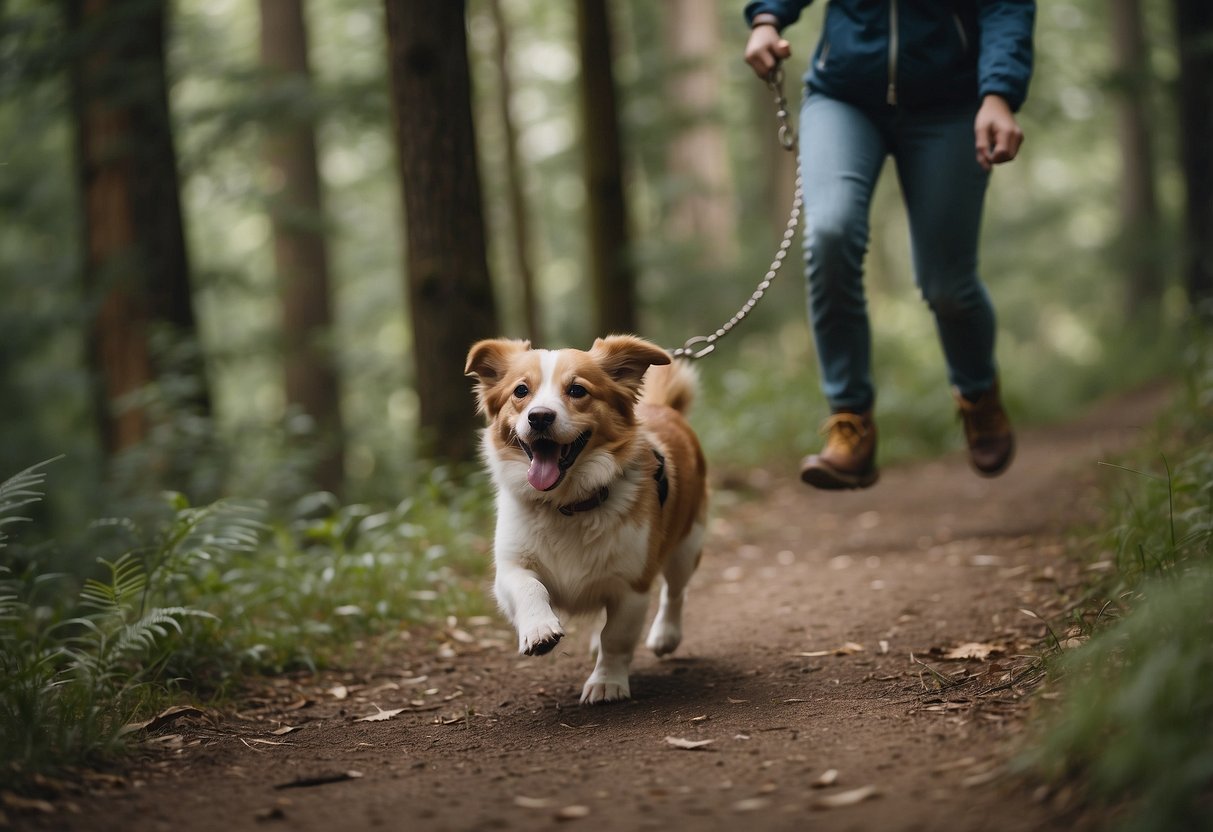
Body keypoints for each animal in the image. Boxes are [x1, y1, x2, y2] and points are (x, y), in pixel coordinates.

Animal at [463, 334, 708, 708]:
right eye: (521, 391)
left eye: (577, 390)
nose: (539, 417)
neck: (567, 505)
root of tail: (665, 408)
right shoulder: (510, 568)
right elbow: (529, 587)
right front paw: (539, 630)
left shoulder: (632, 584)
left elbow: (616, 638)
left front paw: (607, 682)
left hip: (687, 545)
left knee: (674, 592)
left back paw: (665, 634)